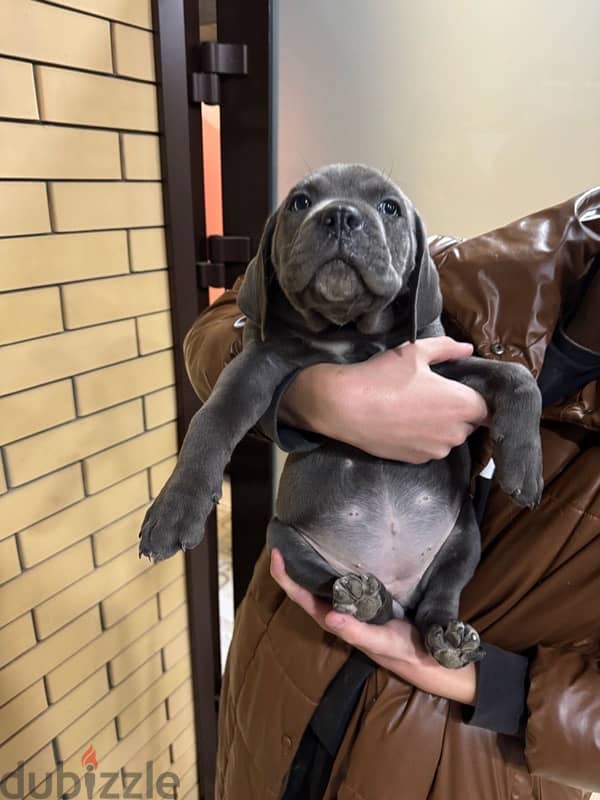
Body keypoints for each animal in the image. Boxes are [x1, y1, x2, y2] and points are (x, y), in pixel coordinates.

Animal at [139, 162, 544, 668]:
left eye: (389, 207)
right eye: (300, 202)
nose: (341, 217)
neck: (347, 332)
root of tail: (398, 586)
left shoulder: (441, 364)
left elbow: (516, 375)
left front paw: (524, 469)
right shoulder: (256, 364)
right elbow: (211, 419)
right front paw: (175, 510)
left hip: (465, 536)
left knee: (438, 598)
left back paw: (447, 637)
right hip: (285, 539)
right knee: (358, 602)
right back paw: (365, 599)